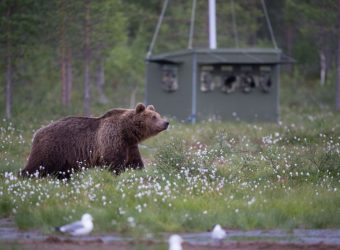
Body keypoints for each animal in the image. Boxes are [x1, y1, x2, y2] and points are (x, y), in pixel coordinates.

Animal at [20, 104, 169, 180]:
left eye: (158, 115)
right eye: (154, 117)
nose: (166, 122)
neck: (127, 131)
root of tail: (37, 132)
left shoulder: (130, 145)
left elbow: (135, 163)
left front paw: (142, 174)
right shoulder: (112, 139)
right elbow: (114, 163)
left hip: (65, 157)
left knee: (62, 172)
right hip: (52, 148)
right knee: (37, 166)